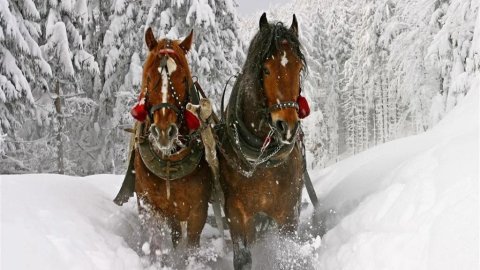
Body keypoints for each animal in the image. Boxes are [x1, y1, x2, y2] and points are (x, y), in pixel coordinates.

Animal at [133, 27, 212, 258]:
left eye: (184, 79)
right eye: (149, 77)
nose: (164, 132)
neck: (169, 161)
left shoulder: (198, 211)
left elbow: (191, 247)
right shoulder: (148, 205)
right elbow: (154, 241)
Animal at [218, 13, 308, 270]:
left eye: (299, 68)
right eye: (266, 70)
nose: (287, 126)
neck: (261, 158)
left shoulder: (288, 212)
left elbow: (287, 253)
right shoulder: (236, 212)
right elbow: (243, 259)